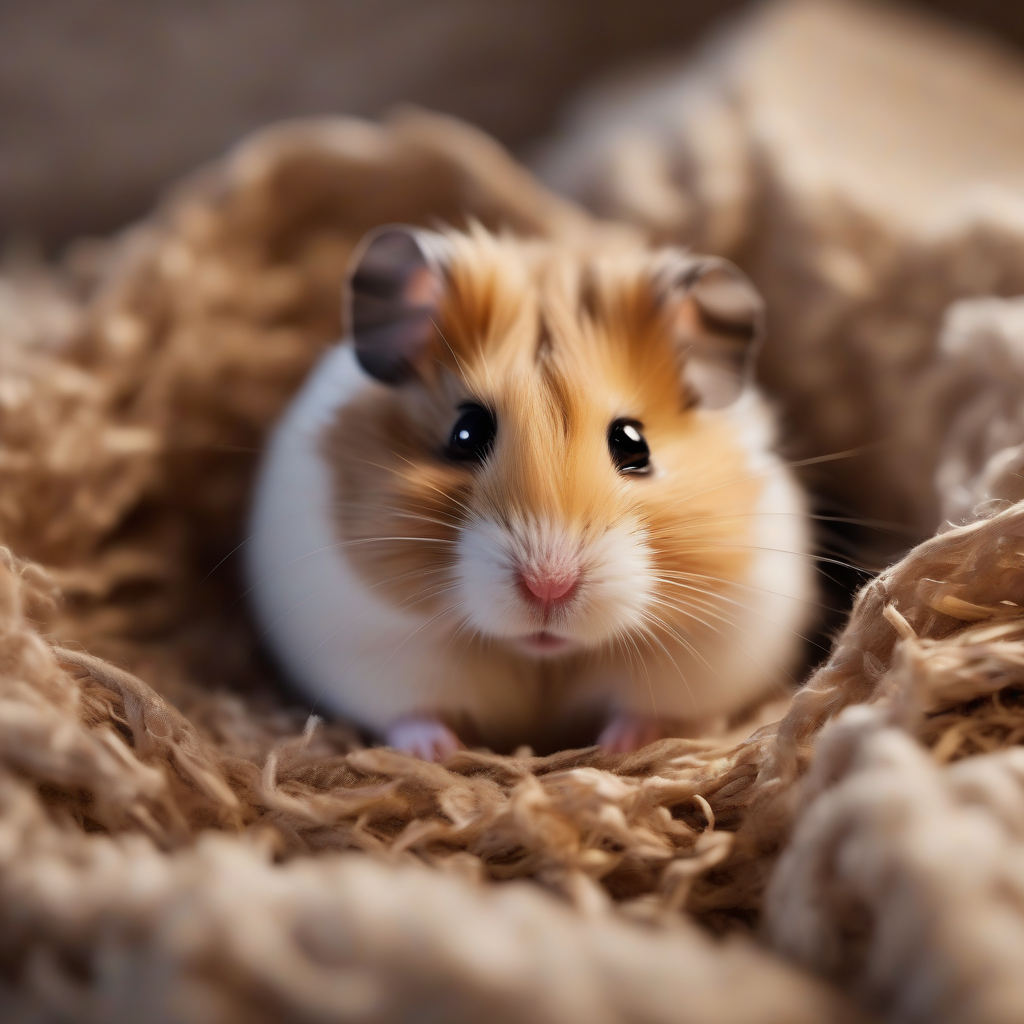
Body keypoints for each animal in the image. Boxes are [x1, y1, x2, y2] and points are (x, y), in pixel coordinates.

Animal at [246, 224, 814, 760]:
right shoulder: (371, 649)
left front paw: (623, 745)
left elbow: (651, 710)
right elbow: (412, 713)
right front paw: (439, 752)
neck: (542, 657)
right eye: (465, 433)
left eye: (634, 443)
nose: (549, 587)